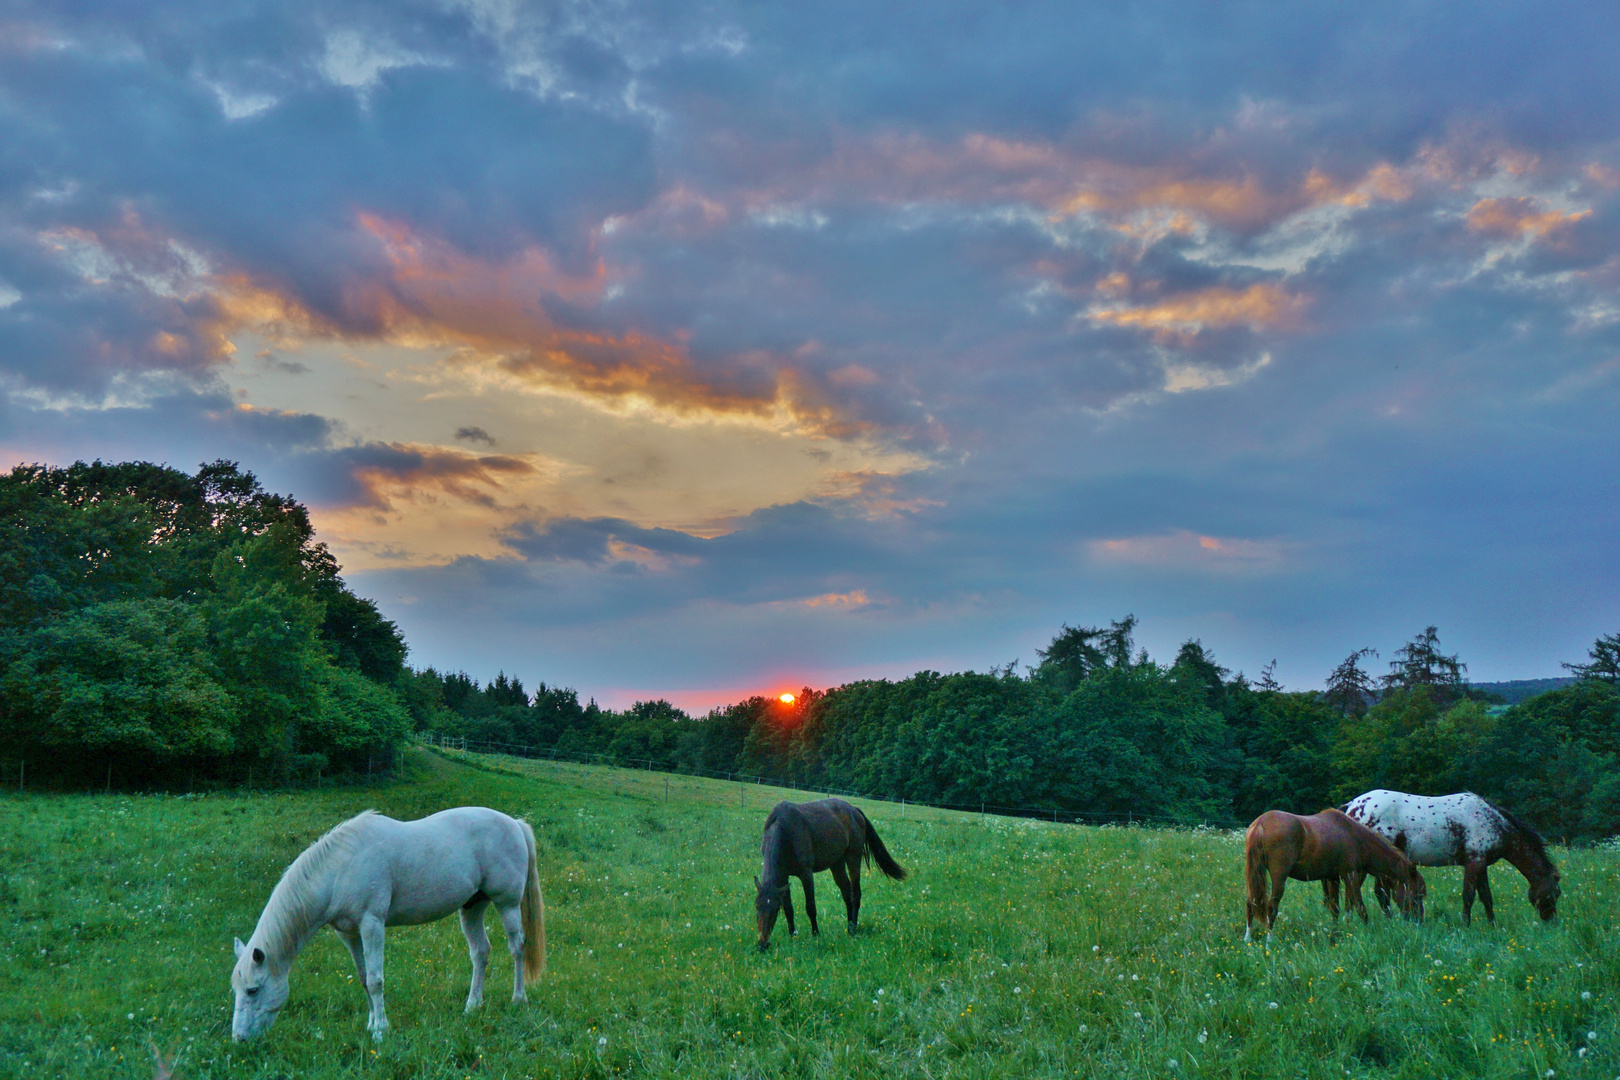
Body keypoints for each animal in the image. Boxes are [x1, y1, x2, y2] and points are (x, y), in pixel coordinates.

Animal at [230, 806, 544, 1042]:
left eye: (253, 989)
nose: (240, 1039)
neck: (340, 869)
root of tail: (515, 824)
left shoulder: (372, 923)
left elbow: (376, 979)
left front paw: (381, 1030)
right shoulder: (349, 934)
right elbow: (363, 979)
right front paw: (371, 1024)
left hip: (507, 903)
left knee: (517, 948)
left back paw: (518, 999)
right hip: (472, 908)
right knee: (480, 952)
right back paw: (472, 1007)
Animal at [751, 793, 907, 952]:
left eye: (775, 909)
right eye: (757, 906)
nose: (762, 945)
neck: (785, 830)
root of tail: (854, 810)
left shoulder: (806, 874)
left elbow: (810, 906)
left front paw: (816, 935)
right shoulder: (783, 876)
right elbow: (789, 908)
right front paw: (793, 936)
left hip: (853, 857)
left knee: (855, 894)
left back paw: (853, 930)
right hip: (837, 863)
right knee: (846, 893)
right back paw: (849, 927)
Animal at [1244, 806, 1425, 939]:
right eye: (1417, 895)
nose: (1419, 922)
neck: (1353, 835)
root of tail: (1261, 822)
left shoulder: (1332, 878)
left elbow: (1335, 908)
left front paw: (1335, 932)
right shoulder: (1350, 875)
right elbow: (1359, 906)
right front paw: (1368, 931)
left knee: (1251, 902)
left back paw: (1248, 939)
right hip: (1279, 878)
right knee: (1271, 907)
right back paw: (1269, 941)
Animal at [1341, 790, 1555, 926]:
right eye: (1555, 894)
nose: (1551, 921)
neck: (1493, 822)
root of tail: (1352, 805)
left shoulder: (1481, 864)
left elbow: (1486, 896)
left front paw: (1492, 925)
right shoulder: (1474, 863)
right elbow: (1469, 896)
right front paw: (1465, 925)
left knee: (1365, 892)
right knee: (1360, 890)